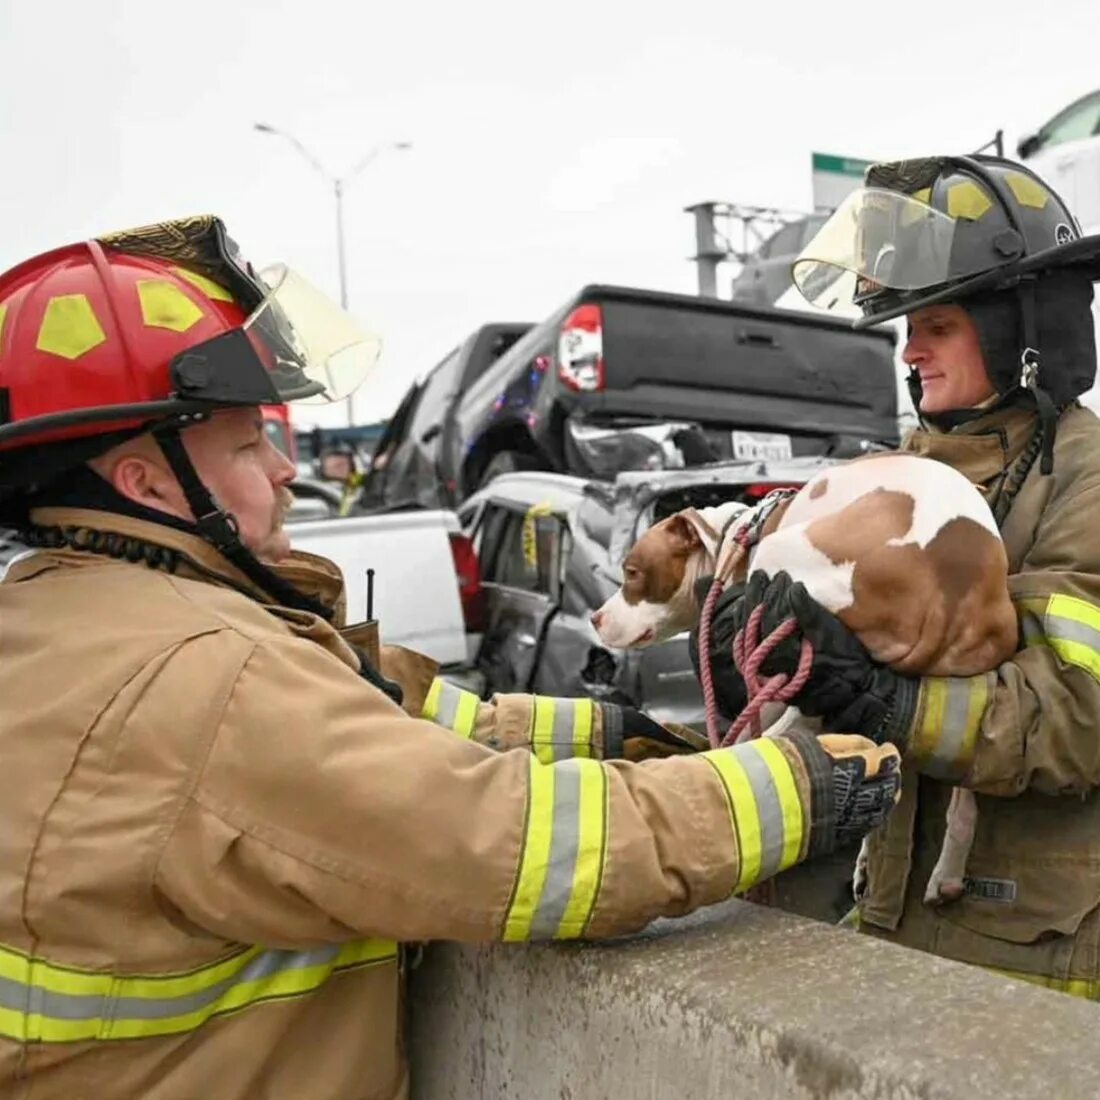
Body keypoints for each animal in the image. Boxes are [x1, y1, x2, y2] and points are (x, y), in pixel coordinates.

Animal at [589, 451, 1016, 906]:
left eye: (632, 572)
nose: (595, 617)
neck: (734, 539)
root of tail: (944, 591)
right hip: (964, 698)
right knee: (966, 794)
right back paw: (945, 875)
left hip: (792, 600)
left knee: (776, 737)